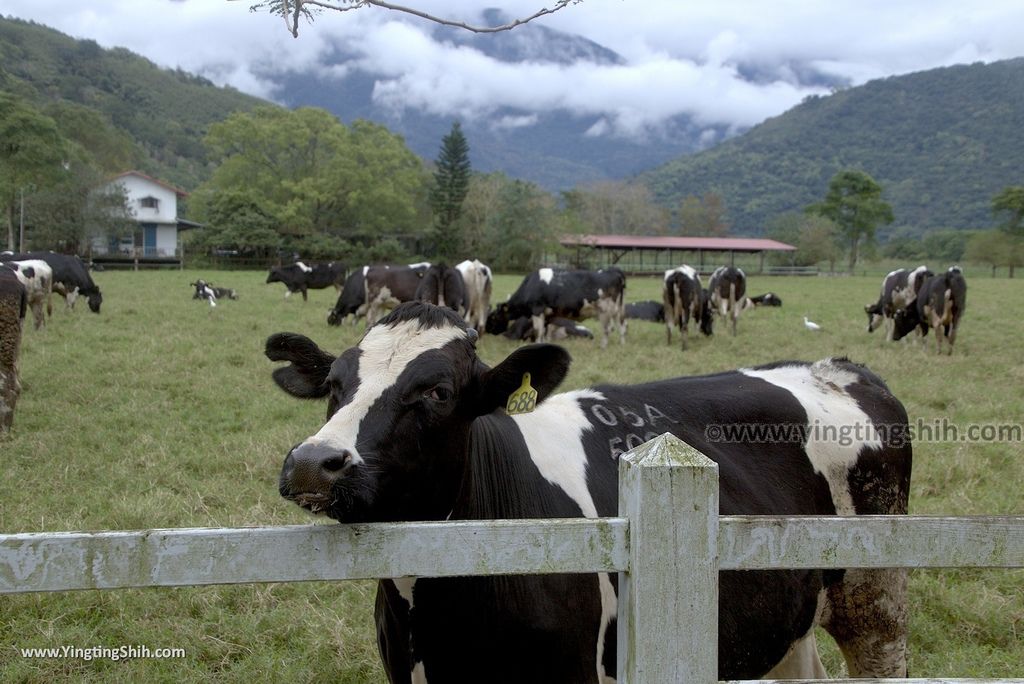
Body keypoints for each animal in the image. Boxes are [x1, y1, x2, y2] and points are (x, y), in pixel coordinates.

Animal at [266, 301, 913, 684]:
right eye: (334, 383)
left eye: (438, 392)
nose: (314, 464)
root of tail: (839, 367)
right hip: (787, 617)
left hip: (876, 602)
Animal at [485, 266, 626, 348]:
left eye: (493, 317)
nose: (486, 329)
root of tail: (612, 270)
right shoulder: (547, 315)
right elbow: (543, 332)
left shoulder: (537, 310)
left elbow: (538, 331)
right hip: (617, 309)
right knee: (622, 325)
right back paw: (621, 344)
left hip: (605, 310)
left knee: (608, 328)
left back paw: (603, 346)